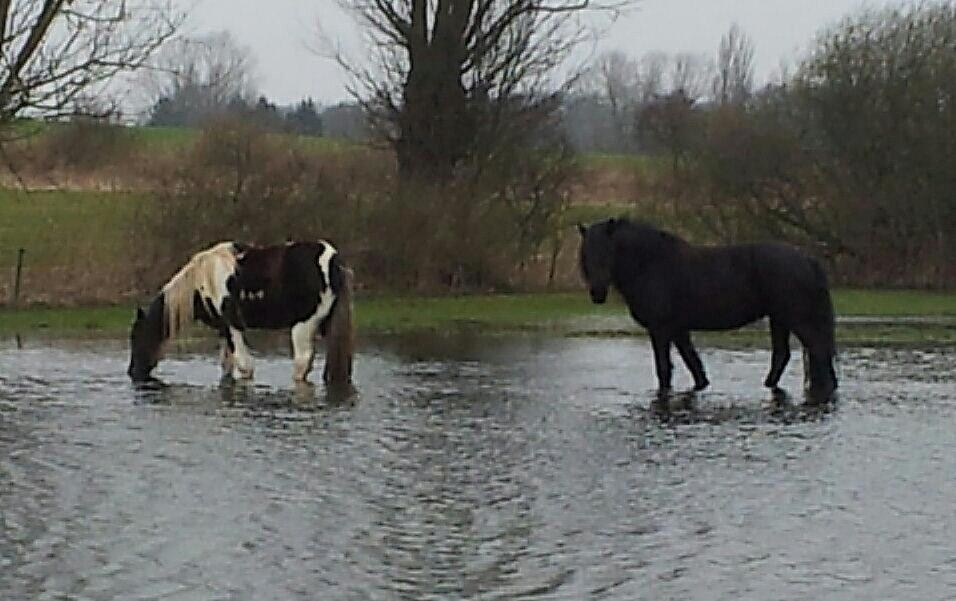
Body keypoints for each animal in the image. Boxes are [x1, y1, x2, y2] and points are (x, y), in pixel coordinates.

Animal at [127, 241, 352, 386]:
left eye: (136, 338)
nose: (132, 373)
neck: (203, 279)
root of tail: (333, 263)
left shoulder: (232, 327)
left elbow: (245, 367)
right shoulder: (224, 332)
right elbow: (227, 367)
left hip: (303, 327)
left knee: (302, 363)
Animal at [576, 218, 836, 400]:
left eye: (607, 251)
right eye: (586, 254)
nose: (597, 293)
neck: (651, 265)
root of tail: (807, 260)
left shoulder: (660, 330)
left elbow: (664, 369)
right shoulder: (678, 330)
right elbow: (694, 366)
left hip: (796, 319)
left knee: (818, 351)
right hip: (779, 319)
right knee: (783, 355)